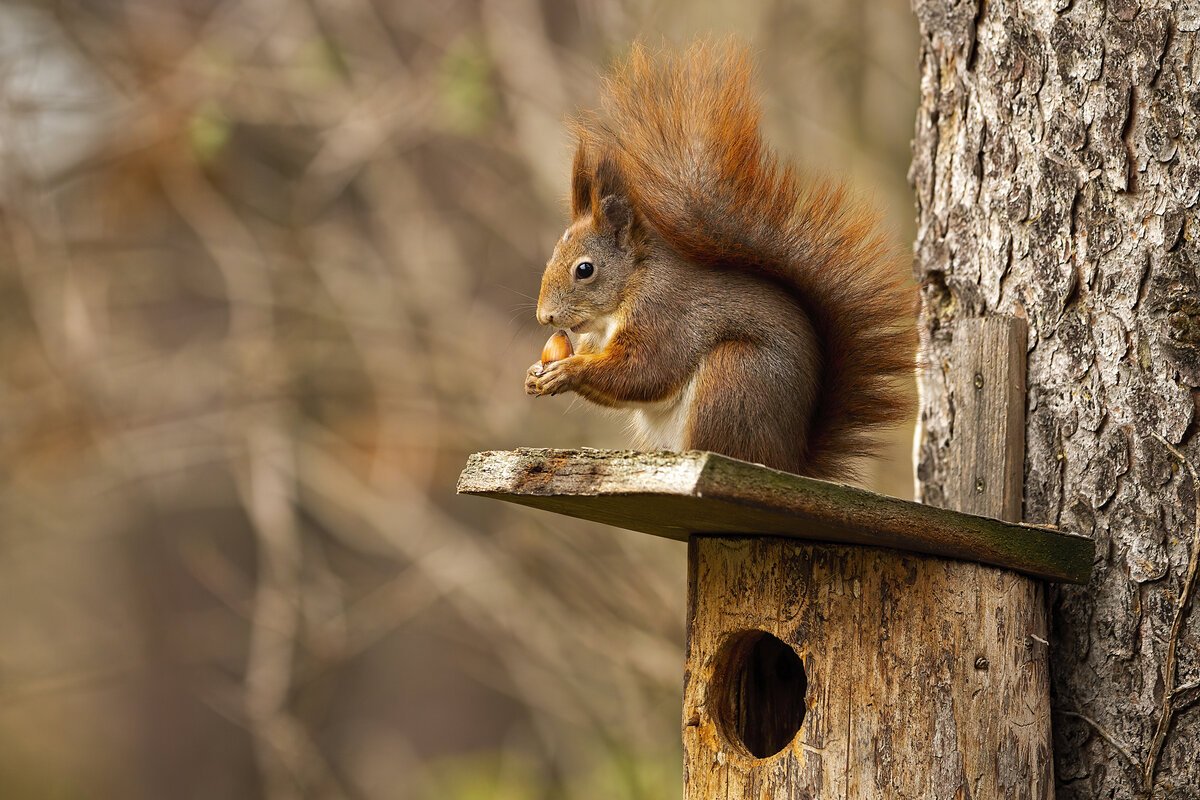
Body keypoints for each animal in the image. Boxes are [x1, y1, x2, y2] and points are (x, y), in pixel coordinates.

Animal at [520, 40, 912, 479]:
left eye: (584, 269)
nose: (545, 317)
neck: (627, 290)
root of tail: (789, 462)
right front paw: (535, 374)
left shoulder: (663, 315)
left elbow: (644, 371)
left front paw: (567, 371)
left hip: (733, 379)